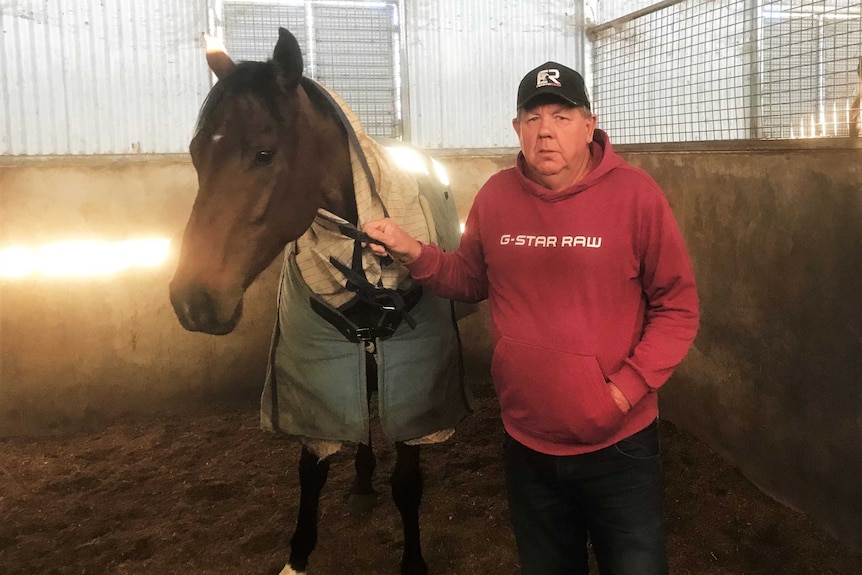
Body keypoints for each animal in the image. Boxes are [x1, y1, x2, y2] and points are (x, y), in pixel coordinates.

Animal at [170, 28, 472, 575]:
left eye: (264, 153)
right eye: (197, 152)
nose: (194, 300)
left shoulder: (411, 384)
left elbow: (407, 483)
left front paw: (412, 561)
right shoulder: (321, 379)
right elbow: (311, 470)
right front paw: (297, 557)